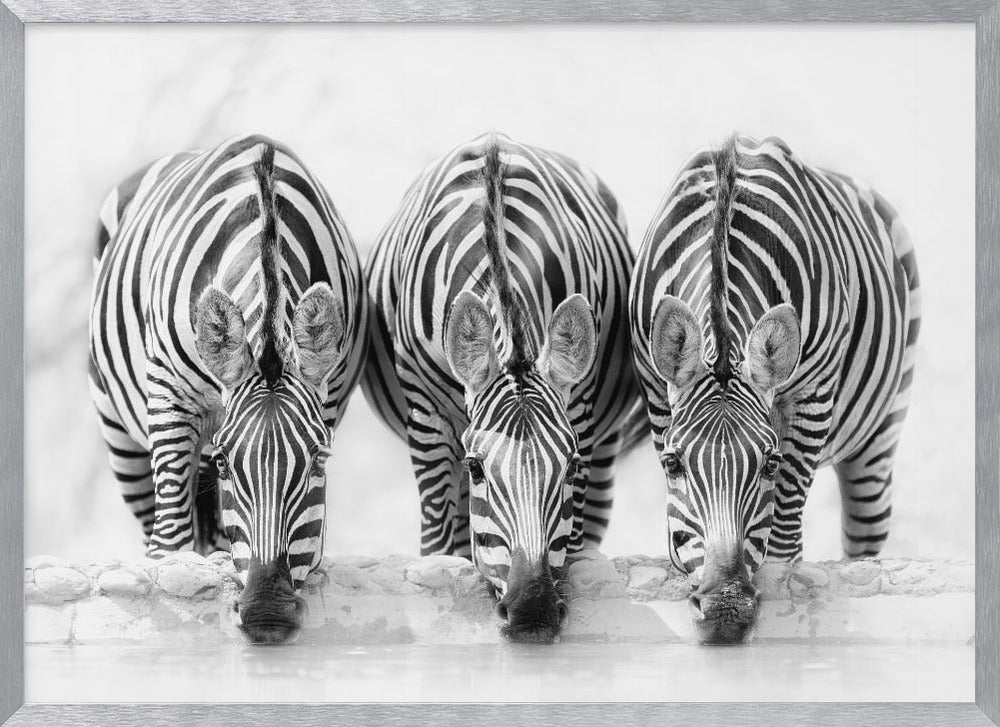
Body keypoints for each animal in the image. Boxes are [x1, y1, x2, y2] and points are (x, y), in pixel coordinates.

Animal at [88, 134, 367, 644]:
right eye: (224, 463)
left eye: (320, 460)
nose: (266, 614)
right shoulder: (170, 396)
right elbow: (170, 543)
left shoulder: (330, 397)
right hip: (120, 435)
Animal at [362, 132, 646, 642]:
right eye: (477, 468)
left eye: (571, 466)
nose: (532, 613)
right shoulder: (426, 415)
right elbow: (438, 541)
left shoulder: (582, 411)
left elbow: (572, 538)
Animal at [629, 134, 920, 644]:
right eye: (672, 463)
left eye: (769, 463)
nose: (725, 609)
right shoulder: (655, 389)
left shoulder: (813, 398)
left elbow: (783, 529)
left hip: (881, 432)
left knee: (864, 535)